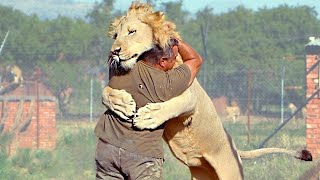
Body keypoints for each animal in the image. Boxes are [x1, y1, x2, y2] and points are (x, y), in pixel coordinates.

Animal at [102, 1, 312, 180]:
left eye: (131, 32)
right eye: (115, 36)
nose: (114, 51)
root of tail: (235, 147)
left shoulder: (189, 94)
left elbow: (173, 104)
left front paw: (149, 116)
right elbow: (105, 91)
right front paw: (121, 104)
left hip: (231, 173)